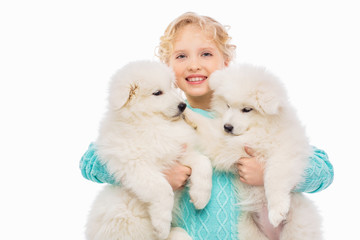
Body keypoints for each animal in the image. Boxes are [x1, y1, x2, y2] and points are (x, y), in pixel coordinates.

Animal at [85, 61, 212, 240]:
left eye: (172, 87)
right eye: (157, 93)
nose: (183, 105)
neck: (153, 123)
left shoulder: (177, 153)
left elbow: (204, 162)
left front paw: (201, 196)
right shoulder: (137, 167)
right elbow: (163, 189)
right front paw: (161, 226)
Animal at [188, 64, 324, 240]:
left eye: (247, 109)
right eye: (227, 105)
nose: (227, 127)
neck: (260, 129)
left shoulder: (285, 154)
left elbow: (274, 178)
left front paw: (277, 211)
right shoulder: (225, 144)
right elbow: (204, 124)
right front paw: (184, 110)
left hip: (298, 227)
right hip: (249, 231)